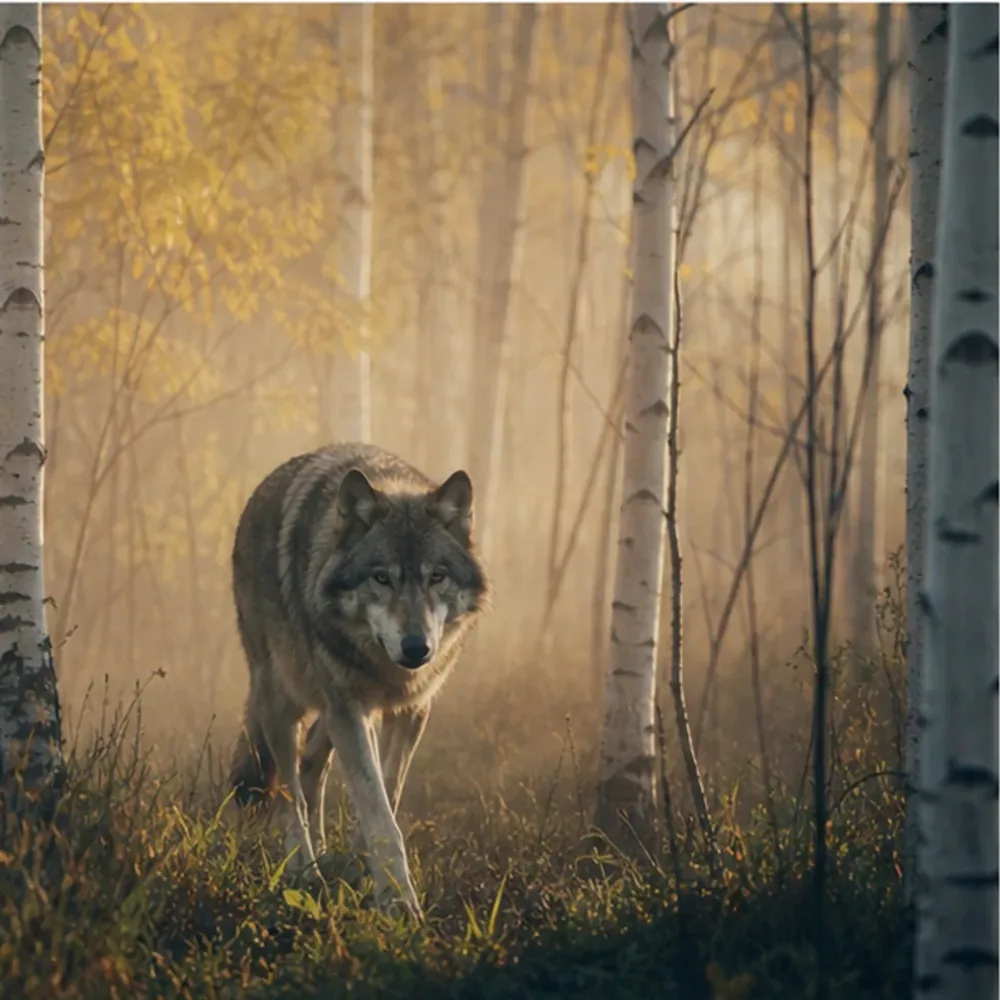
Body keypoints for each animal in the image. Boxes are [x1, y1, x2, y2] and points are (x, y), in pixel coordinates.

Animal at [229, 442, 490, 920]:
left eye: (436, 576)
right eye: (381, 577)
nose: (416, 648)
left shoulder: (410, 710)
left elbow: (387, 793)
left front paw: (362, 869)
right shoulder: (352, 711)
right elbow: (375, 806)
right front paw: (398, 902)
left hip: (329, 712)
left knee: (311, 765)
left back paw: (322, 859)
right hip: (281, 699)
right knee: (289, 792)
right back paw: (302, 870)